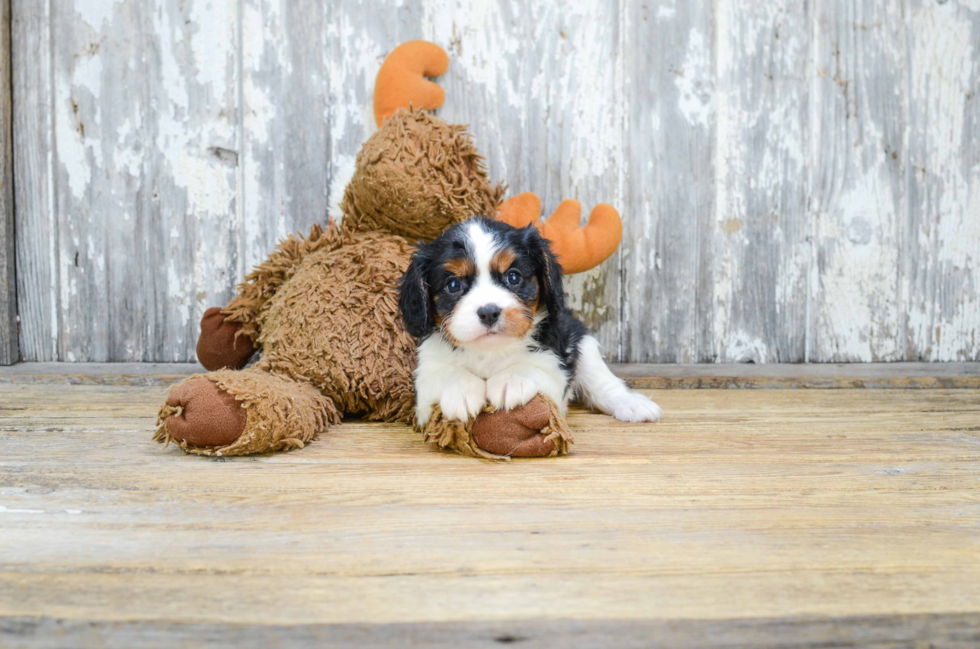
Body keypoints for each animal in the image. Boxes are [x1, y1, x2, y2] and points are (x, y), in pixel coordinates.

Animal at [400, 216, 668, 426]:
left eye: (513, 277)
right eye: (453, 285)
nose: (489, 312)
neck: (490, 351)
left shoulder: (558, 358)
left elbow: (535, 366)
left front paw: (511, 380)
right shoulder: (425, 378)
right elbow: (443, 373)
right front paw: (460, 390)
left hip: (583, 341)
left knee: (603, 383)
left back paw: (631, 404)